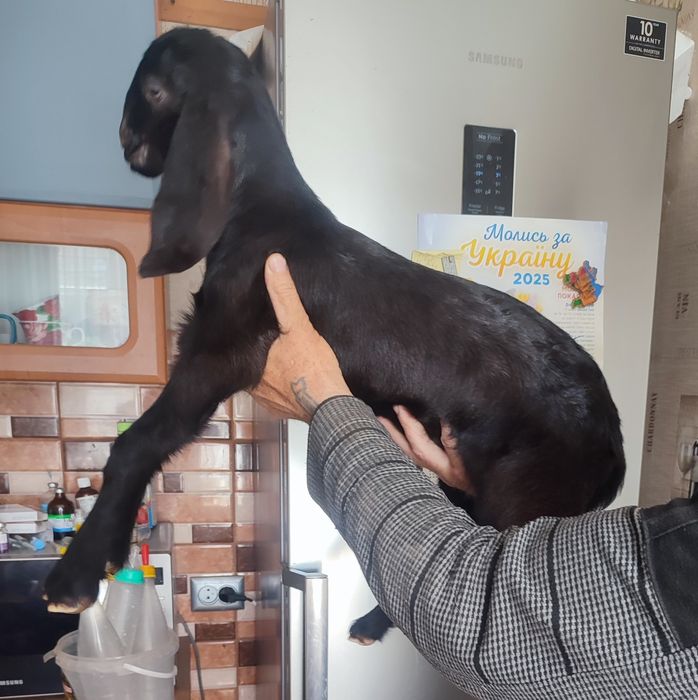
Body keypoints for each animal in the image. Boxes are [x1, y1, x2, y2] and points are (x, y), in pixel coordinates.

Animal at [45, 28, 624, 645]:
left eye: (153, 90)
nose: (123, 137)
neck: (257, 209)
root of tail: (612, 439)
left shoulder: (218, 354)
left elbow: (136, 445)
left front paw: (76, 574)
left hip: (524, 500)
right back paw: (372, 621)